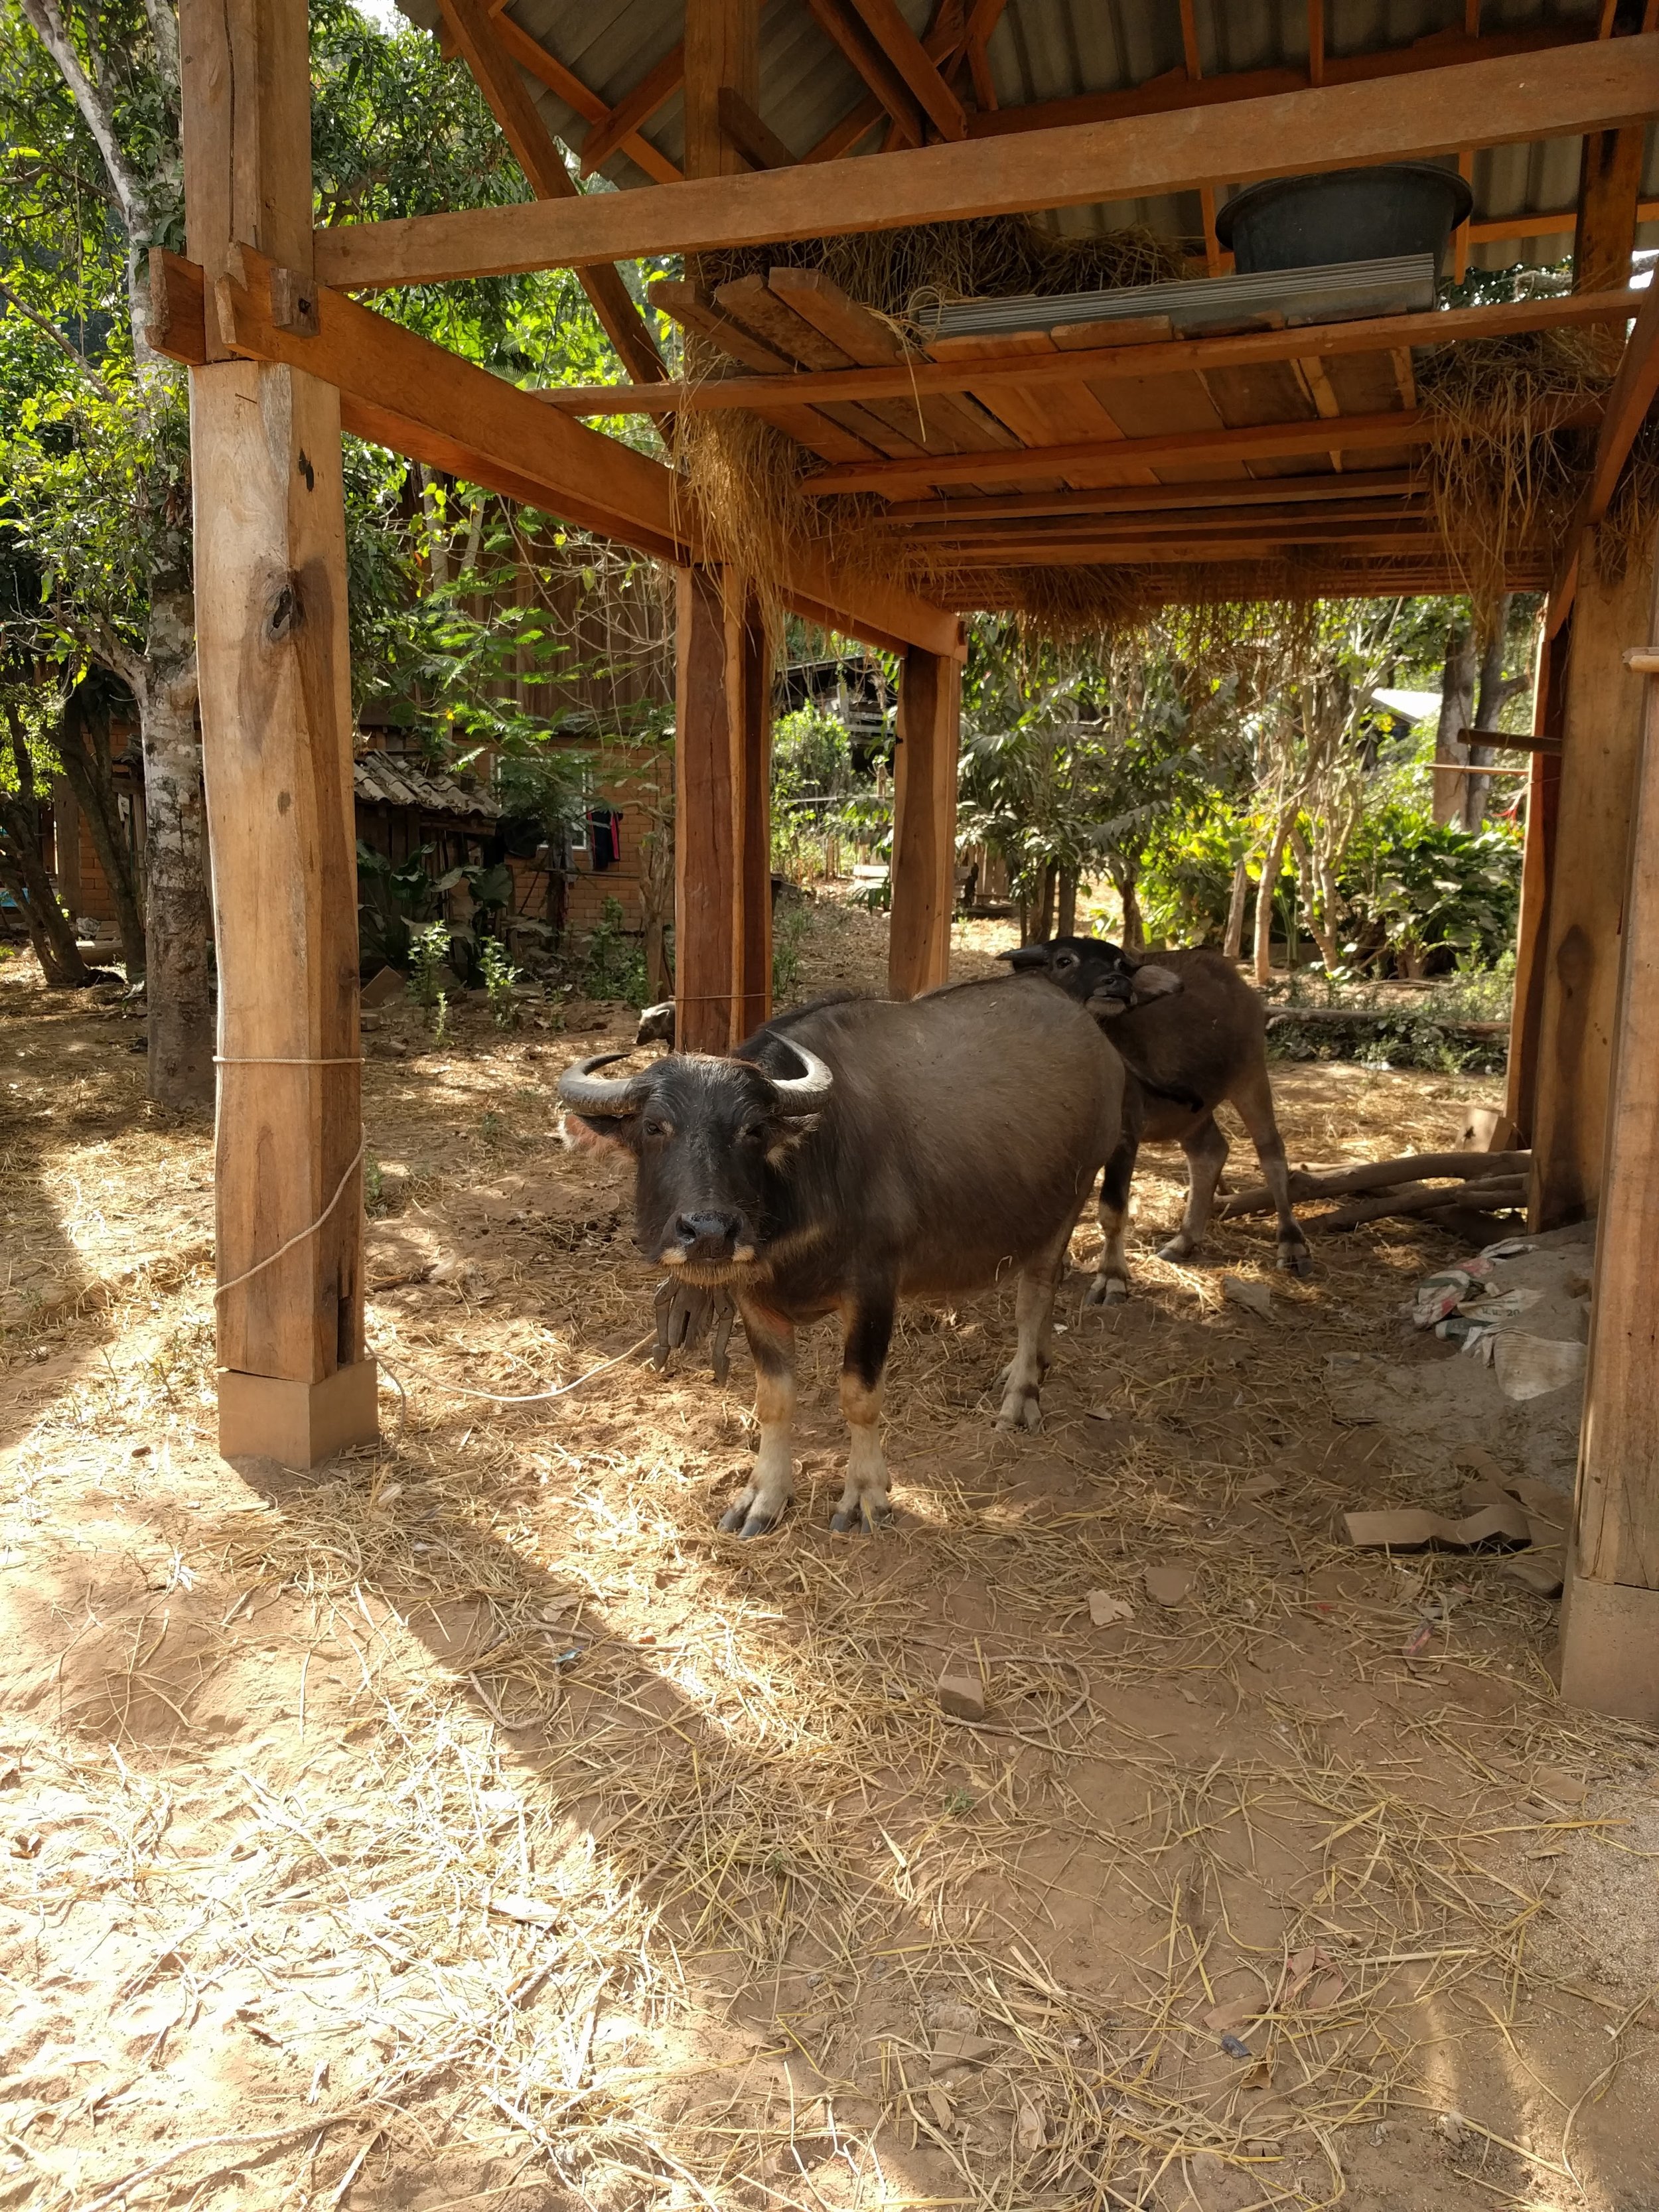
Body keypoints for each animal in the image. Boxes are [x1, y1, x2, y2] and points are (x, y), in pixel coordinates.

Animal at [559, 977, 1125, 1536]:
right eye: (654, 1127)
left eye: (753, 1129)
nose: (709, 1231)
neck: (805, 1181)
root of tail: (1091, 1033)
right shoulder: (755, 1299)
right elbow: (773, 1400)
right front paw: (764, 1496)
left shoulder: (874, 1290)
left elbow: (860, 1396)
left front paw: (865, 1495)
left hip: (1068, 1203)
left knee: (1035, 1298)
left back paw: (1021, 1393)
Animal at [1001, 936, 1310, 1290]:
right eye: (1064, 961)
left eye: (1121, 965)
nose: (1115, 983)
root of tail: (1233, 978)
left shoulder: (1126, 1135)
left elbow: (1112, 1209)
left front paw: (1112, 1276)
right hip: (1192, 1112)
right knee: (1210, 1153)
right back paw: (1184, 1241)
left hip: (1252, 1075)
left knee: (1271, 1153)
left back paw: (1292, 1244)